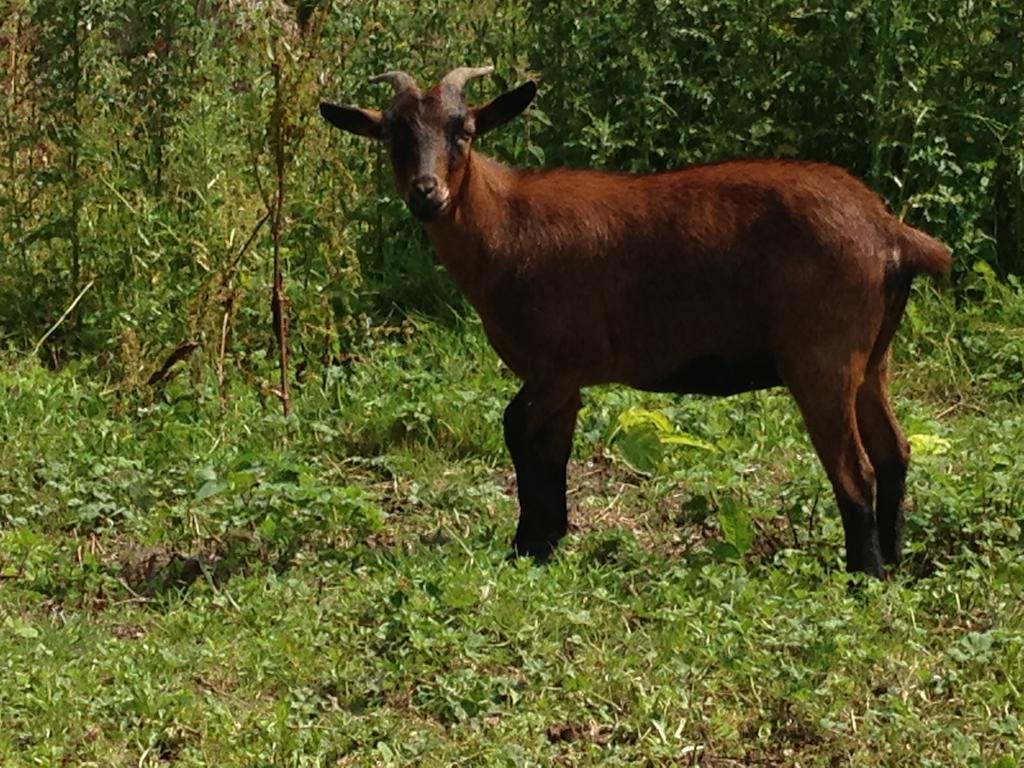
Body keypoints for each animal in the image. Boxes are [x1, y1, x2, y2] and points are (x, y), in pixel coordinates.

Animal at [321, 66, 950, 577]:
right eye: (393, 136)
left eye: (464, 131)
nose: (427, 194)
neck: (507, 226)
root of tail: (889, 232)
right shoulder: (564, 380)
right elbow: (550, 447)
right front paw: (547, 541)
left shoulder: (556, 365)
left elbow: (517, 431)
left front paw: (527, 544)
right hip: (873, 358)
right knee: (895, 452)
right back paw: (895, 561)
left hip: (823, 357)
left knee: (856, 471)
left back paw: (864, 573)